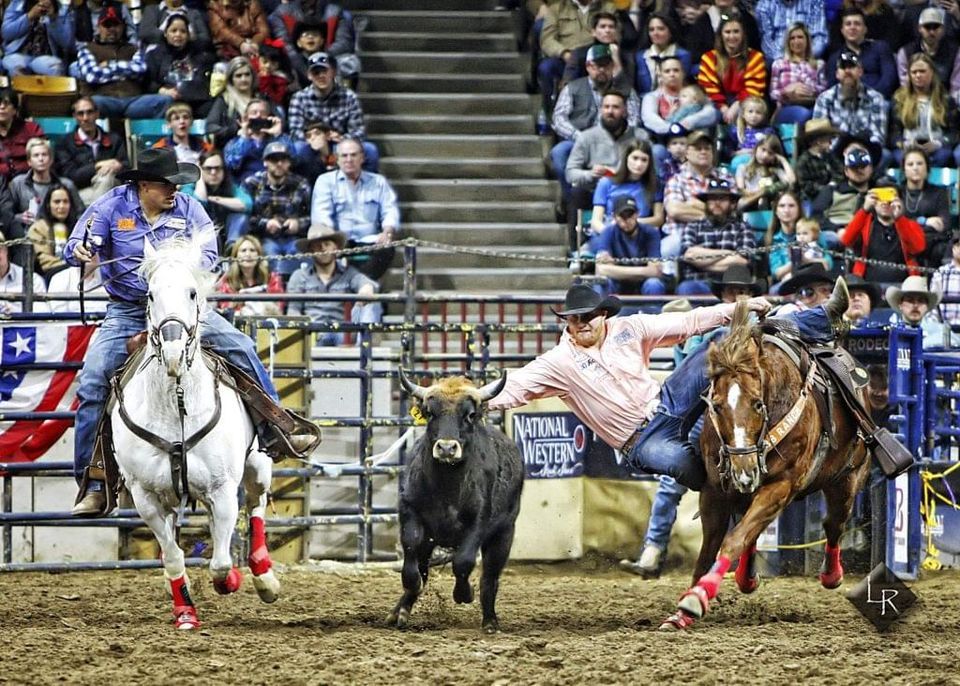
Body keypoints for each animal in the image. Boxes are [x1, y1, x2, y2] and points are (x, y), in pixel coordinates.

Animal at [112, 235, 280, 628]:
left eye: (192, 293)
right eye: (150, 294)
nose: (173, 353)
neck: (175, 407)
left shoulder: (222, 489)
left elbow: (220, 562)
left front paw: (230, 580)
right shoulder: (145, 498)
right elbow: (174, 556)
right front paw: (185, 611)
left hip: (257, 464)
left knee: (256, 505)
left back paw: (264, 577)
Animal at [660, 304, 872, 632]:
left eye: (758, 404)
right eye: (716, 405)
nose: (744, 469)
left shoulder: (780, 486)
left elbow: (734, 540)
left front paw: (697, 598)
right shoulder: (715, 490)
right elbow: (711, 548)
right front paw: (684, 610)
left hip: (848, 478)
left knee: (834, 524)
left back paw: (831, 575)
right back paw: (746, 577)